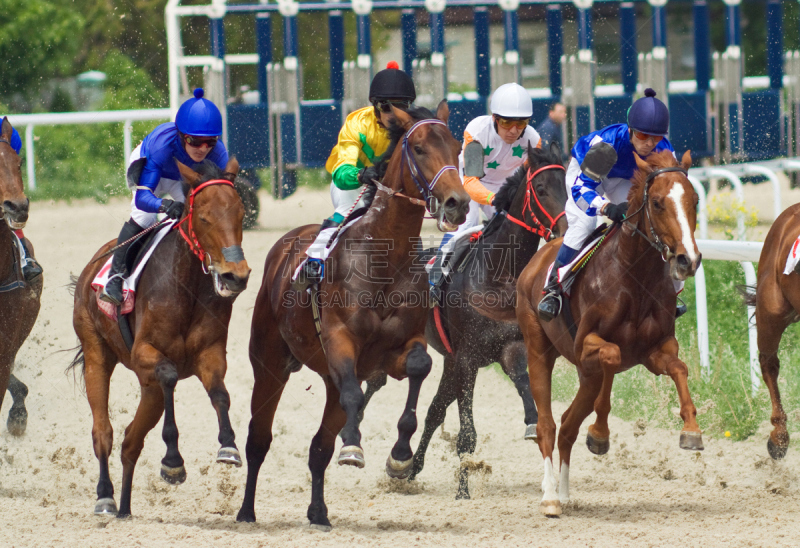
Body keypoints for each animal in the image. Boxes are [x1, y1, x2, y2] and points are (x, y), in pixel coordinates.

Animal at [70, 157, 248, 520]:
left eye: (240, 214)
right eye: (204, 218)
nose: (235, 276)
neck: (186, 286)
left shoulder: (209, 355)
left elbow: (220, 393)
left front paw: (228, 446)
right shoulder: (143, 354)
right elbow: (168, 374)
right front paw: (173, 462)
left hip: (146, 389)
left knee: (130, 441)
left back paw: (124, 508)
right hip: (97, 352)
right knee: (103, 432)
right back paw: (106, 497)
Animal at [234, 103, 472, 532]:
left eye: (455, 147)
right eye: (418, 147)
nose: (456, 202)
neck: (383, 259)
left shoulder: (400, 347)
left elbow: (418, 367)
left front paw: (399, 456)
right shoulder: (340, 342)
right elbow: (354, 397)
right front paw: (354, 448)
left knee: (318, 448)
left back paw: (319, 512)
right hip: (270, 364)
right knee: (259, 439)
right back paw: (246, 511)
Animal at [516, 148, 704, 516]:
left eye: (695, 201)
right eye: (657, 203)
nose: (687, 260)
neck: (634, 276)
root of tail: (536, 260)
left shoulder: (656, 350)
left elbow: (679, 368)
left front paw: (691, 430)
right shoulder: (586, 345)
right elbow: (613, 355)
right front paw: (600, 434)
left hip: (585, 375)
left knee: (568, 425)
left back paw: (564, 493)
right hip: (538, 349)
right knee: (547, 425)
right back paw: (550, 497)